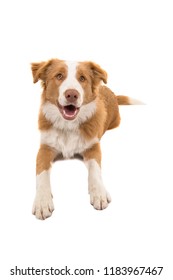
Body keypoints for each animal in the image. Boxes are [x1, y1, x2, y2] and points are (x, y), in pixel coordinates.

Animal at [30, 59, 140, 220]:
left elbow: (95, 170)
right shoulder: (45, 148)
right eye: (59, 76)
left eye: (82, 78)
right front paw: (42, 202)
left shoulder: (93, 147)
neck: (68, 126)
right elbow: (41, 174)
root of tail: (111, 92)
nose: (72, 94)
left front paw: (99, 193)